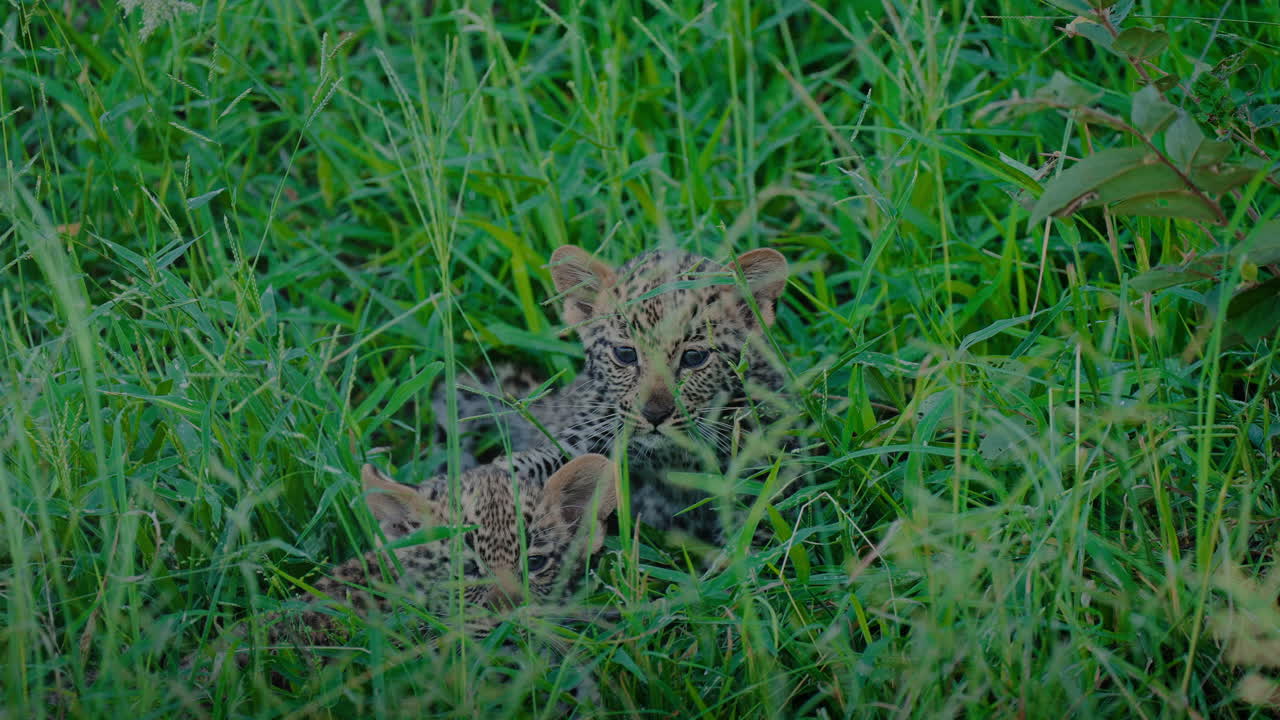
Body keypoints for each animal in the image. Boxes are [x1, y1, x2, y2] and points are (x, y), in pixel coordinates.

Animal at [439, 245, 791, 543]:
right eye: (625, 354)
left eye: (694, 357)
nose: (654, 415)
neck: (671, 456)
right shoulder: (588, 436)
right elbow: (538, 463)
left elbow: (762, 524)